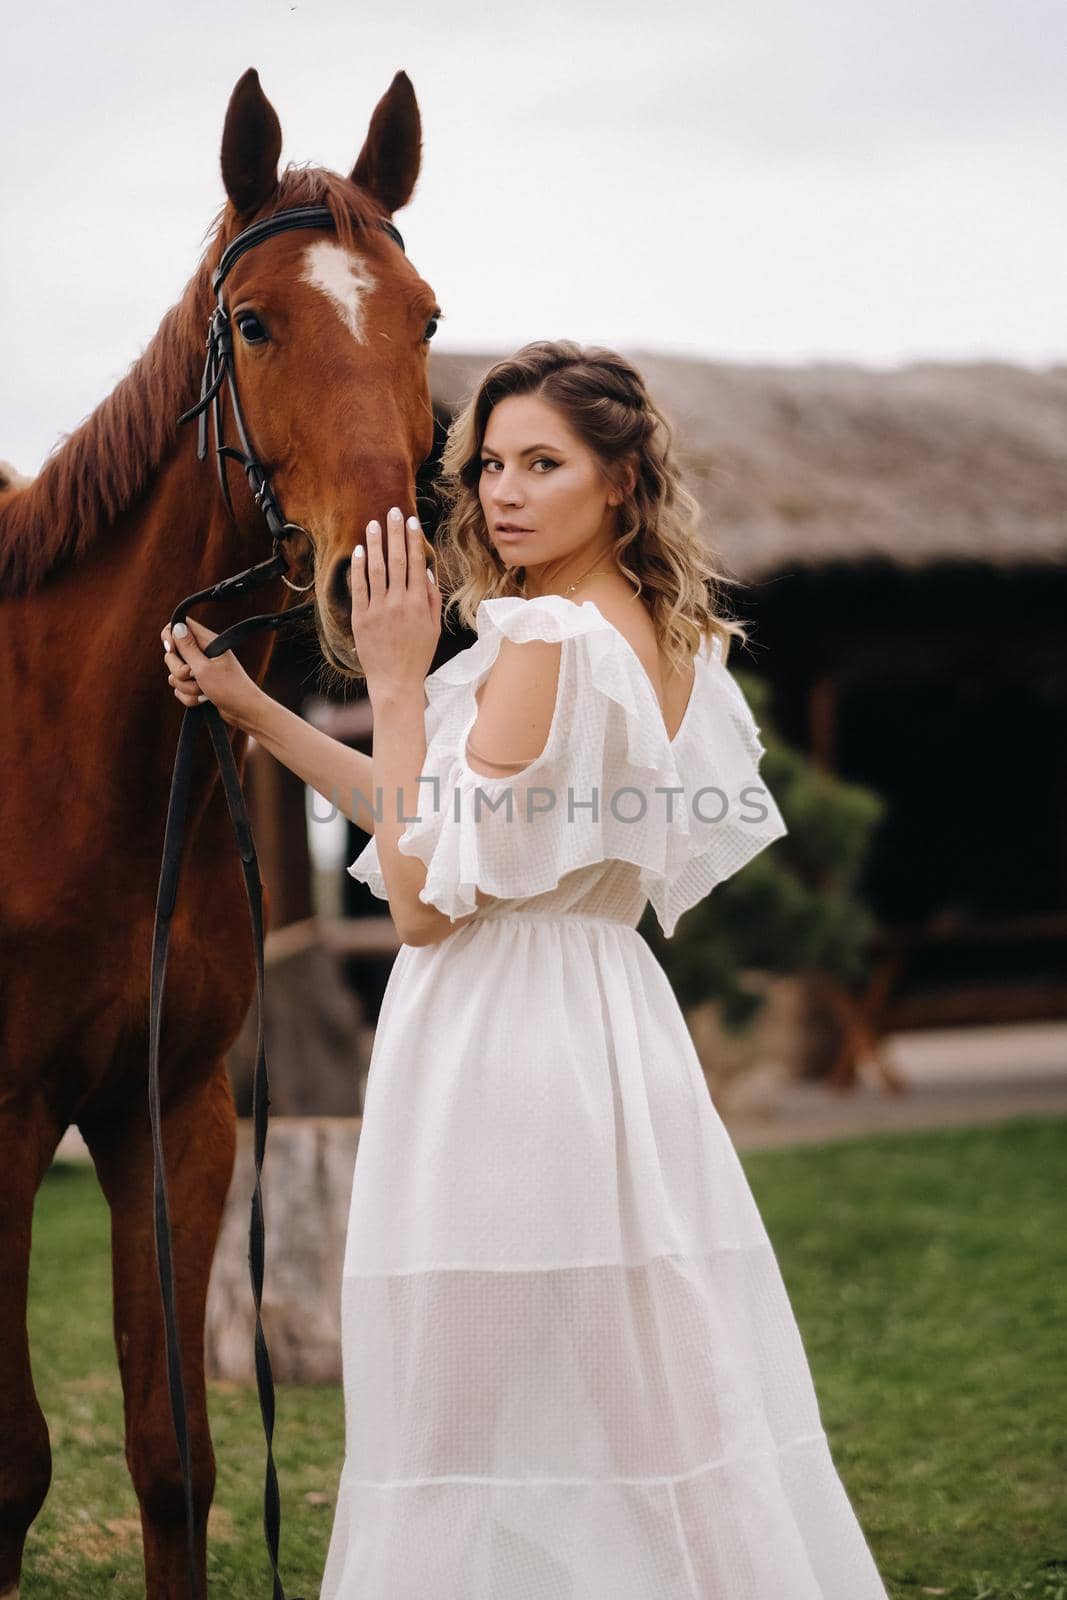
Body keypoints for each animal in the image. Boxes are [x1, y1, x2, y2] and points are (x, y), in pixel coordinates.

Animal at [0, 65, 441, 1600]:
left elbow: (175, 1458)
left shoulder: (171, 1112)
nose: (382, 578)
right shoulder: (7, 1121)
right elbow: (12, 1463)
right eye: (254, 322)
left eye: (425, 318)